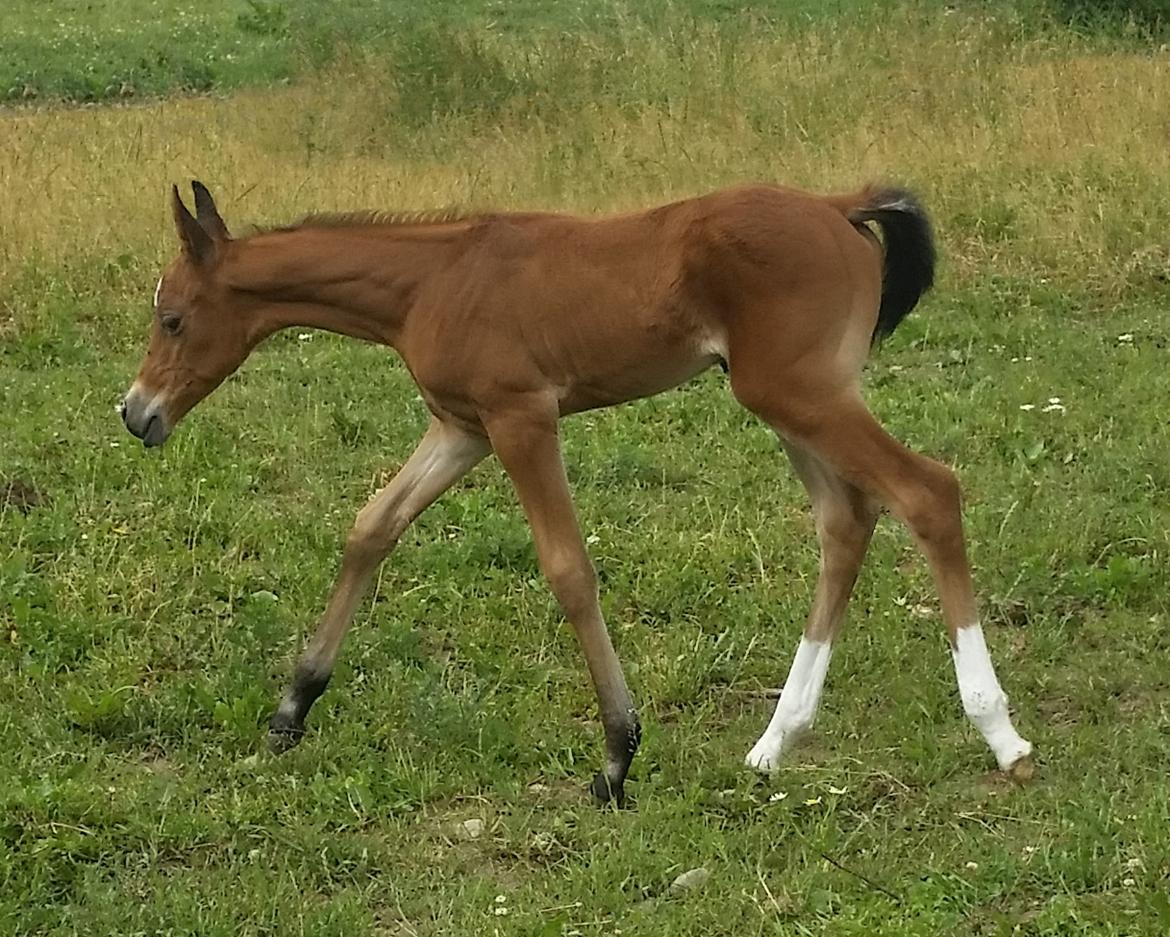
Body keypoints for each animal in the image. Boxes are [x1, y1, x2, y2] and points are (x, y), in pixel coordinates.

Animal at [121, 181, 1034, 804]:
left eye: (173, 319)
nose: (137, 414)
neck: (432, 277)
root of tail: (839, 206)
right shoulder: (462, 426)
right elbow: (372, 527)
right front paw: (293, 705)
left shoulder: (521, 417)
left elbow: (568, 569)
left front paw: (617, 754)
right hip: (790, 400)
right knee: (847, 518)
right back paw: (775, 740)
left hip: (800, 392)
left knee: (928, 492)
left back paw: (1000, 732)